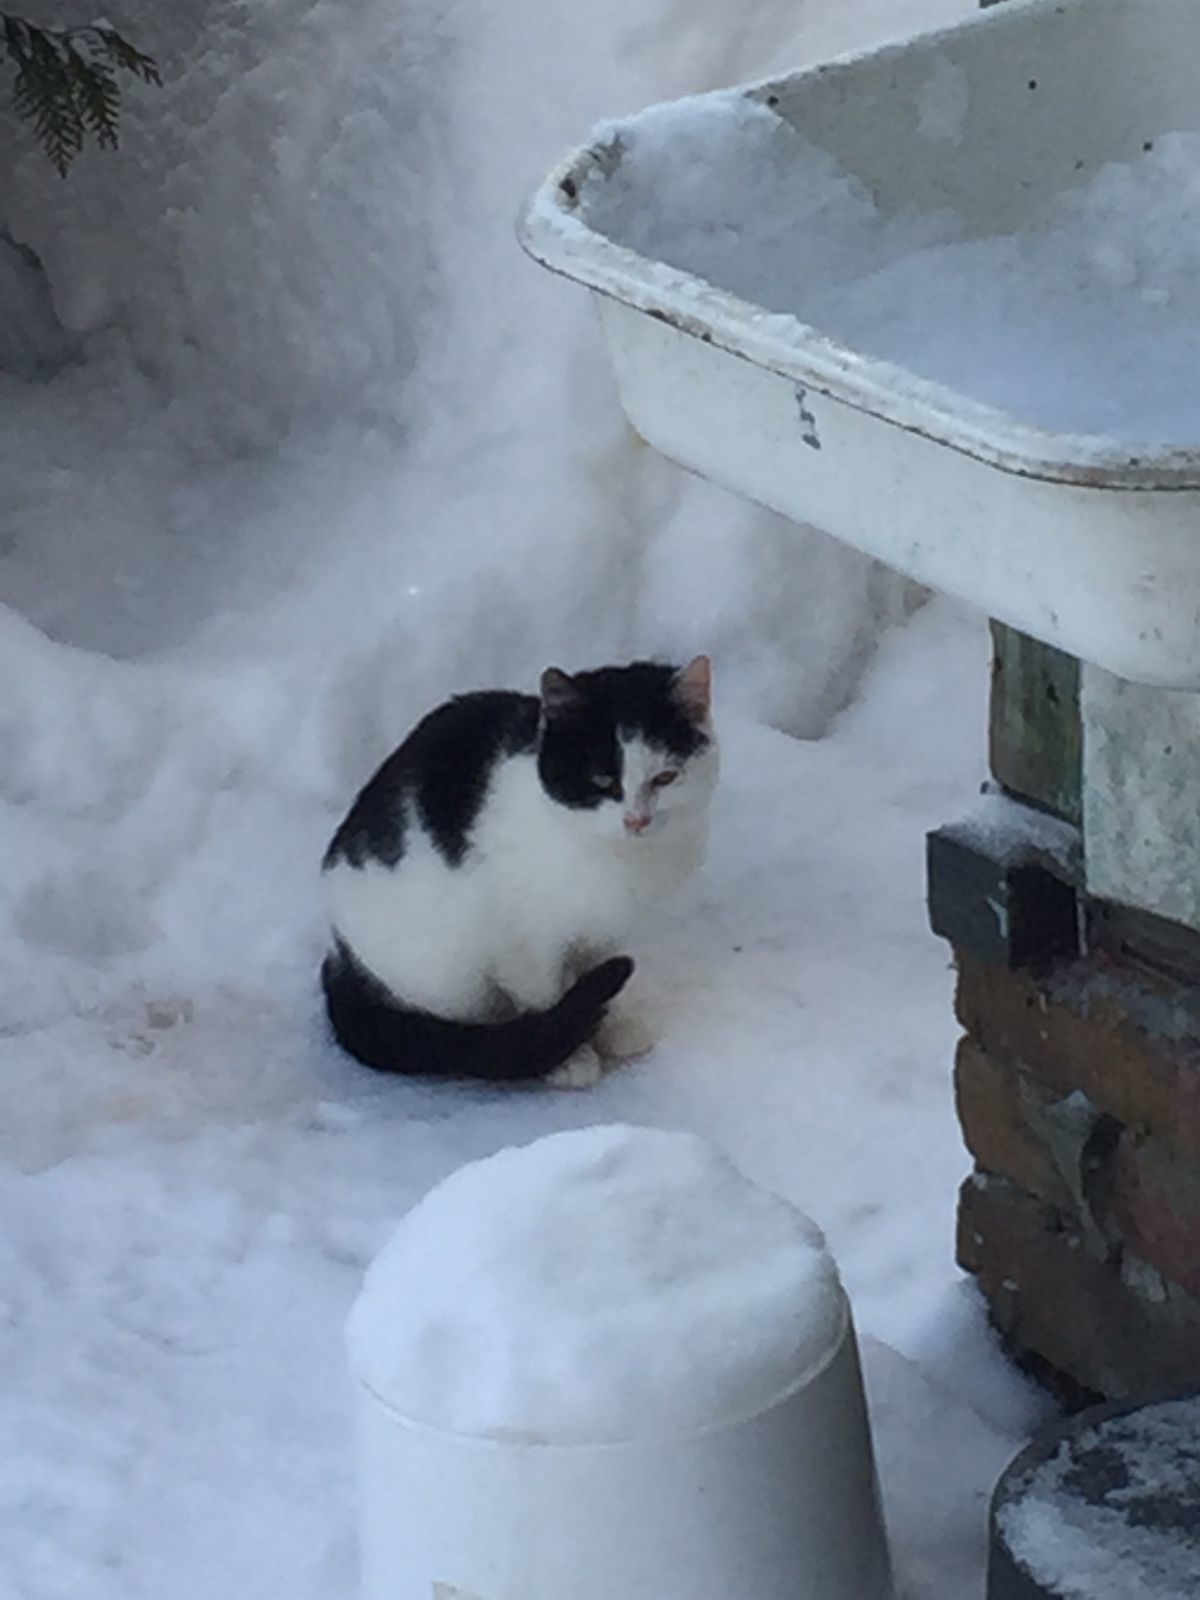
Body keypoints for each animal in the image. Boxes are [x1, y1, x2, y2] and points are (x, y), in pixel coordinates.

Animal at [320, 652, 720, 1088]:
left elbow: (602, 967)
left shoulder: (609, 927)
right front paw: (569, 1055)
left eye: (666, 777)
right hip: (443, 971)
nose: (637, 820)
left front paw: (614, 1025)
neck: (615, 855)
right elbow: (542, 993)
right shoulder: (522, 941)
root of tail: (340, 951)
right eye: (601, 780)